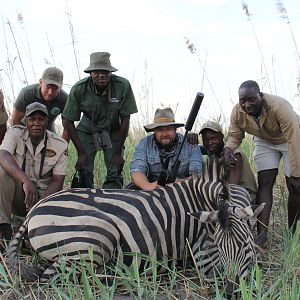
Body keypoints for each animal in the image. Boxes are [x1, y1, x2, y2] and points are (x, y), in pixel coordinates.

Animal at [7, 158, 264, 294]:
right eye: (221, 247)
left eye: (246, 245)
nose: (232, 292)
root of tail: (34, 210)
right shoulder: (204, 255)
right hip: (95, 237)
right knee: (56, 277)